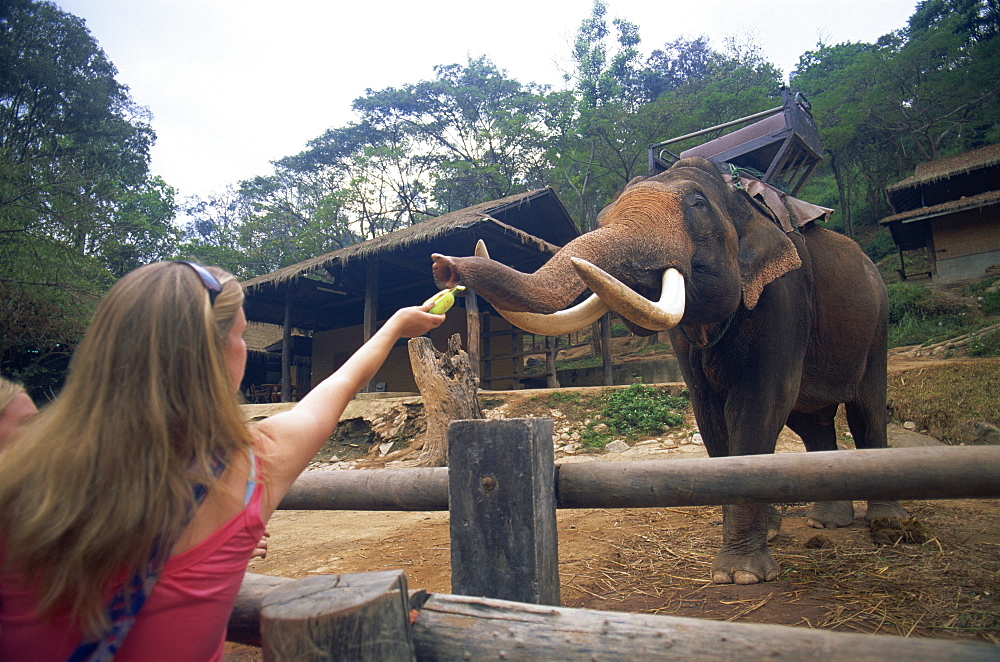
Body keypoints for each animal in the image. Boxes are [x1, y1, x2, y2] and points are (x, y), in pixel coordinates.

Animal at [430, 160, 908, 588]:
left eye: (697, 205)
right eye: (601, 219)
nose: (442, 266)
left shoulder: (784, 296)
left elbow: (759, 405)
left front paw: (741, 574)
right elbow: (711, 416)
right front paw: (749, 550)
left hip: (878, 320)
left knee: (865, 411)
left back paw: (886, 522)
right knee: (810, 421)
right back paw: (826, 522)